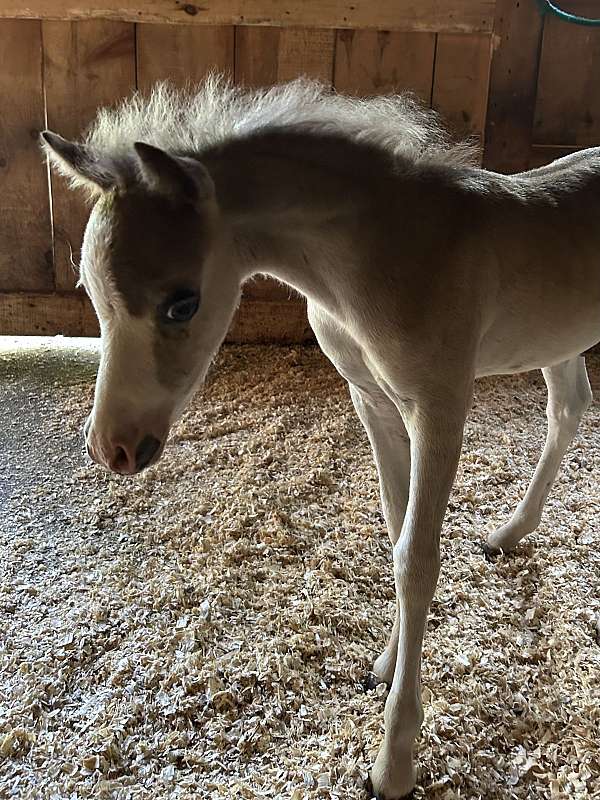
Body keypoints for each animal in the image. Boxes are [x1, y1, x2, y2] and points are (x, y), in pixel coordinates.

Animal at [42, 76, 599, 799]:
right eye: (89, 290)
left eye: (182, 303)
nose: (112, 446)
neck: (384, 256)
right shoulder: (374, 401)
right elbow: (396, 529)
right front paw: (385, 664)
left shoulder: (440, 406)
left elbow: (417, 560)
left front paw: (393, 762)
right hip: (557, 337)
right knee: (568, 407)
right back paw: (508, 534)